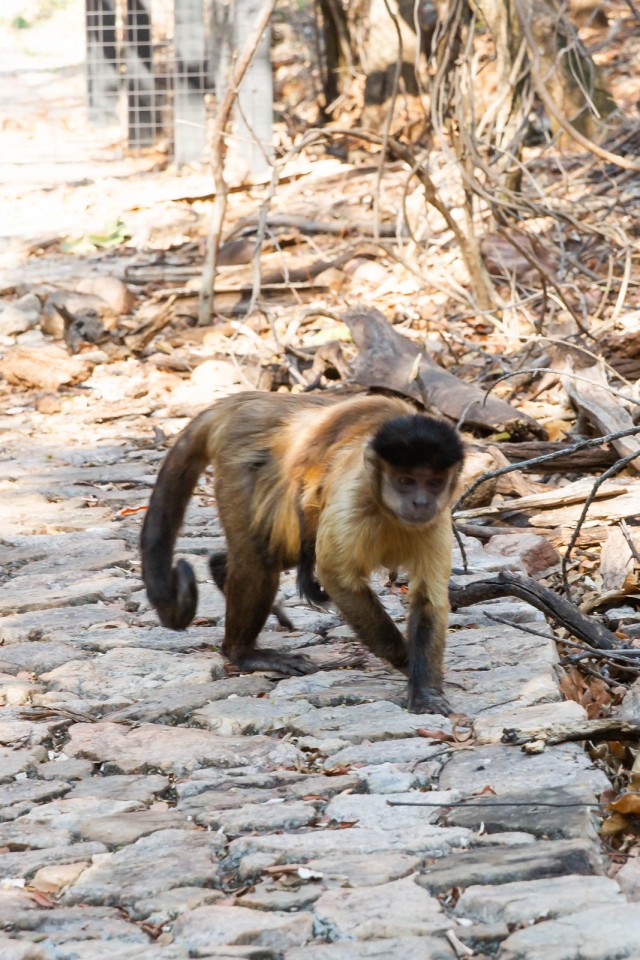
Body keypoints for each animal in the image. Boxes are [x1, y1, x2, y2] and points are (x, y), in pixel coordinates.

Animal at [141, 390, 464, 712]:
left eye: (433, 484)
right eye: (406, 482)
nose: (421, 502)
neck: (390, 514)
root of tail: (244, 400)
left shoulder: (437, 519)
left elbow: (428, 598)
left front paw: (424, 686)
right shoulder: (353, 498)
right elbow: (337, 579)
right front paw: (408, 663)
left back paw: (220, 568)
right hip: (243, 463)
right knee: (262, 558)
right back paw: (241, 652)